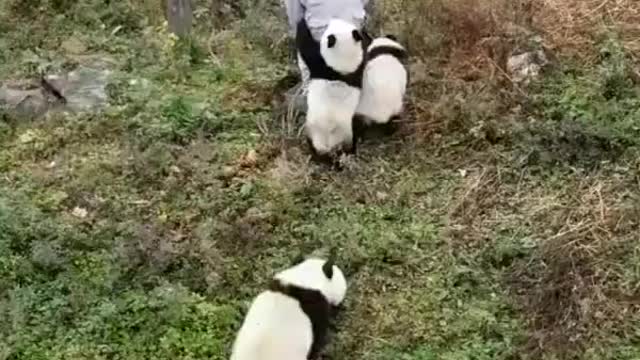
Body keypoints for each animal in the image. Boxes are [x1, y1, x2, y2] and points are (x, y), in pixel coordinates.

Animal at [296, 18, 364, 166]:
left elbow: (306, 46)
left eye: (329, 27)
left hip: (315, 131)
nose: (333, 19)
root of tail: (329, 145)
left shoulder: (321, 63)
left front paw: (301, 23)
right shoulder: (358, 71)